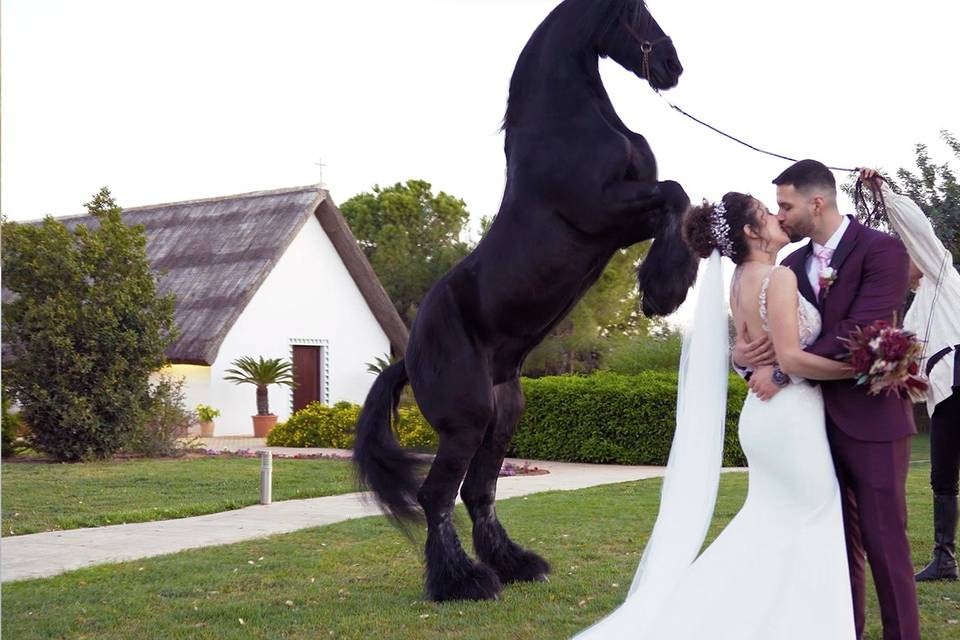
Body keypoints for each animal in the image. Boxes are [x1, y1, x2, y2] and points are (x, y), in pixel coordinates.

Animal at [352, 0, 696, 604]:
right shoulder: (602, 211)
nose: (672, 65)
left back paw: (517, 564)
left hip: (503, 416)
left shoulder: (623, 223)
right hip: (466, 422)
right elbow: (675, 193)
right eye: (634, 11)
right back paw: (463, 581)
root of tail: (409, 358)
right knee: (437, 496)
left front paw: (670, 280)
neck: (567, 126)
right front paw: (662, 291)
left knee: (478, 493)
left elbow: (677, 201)